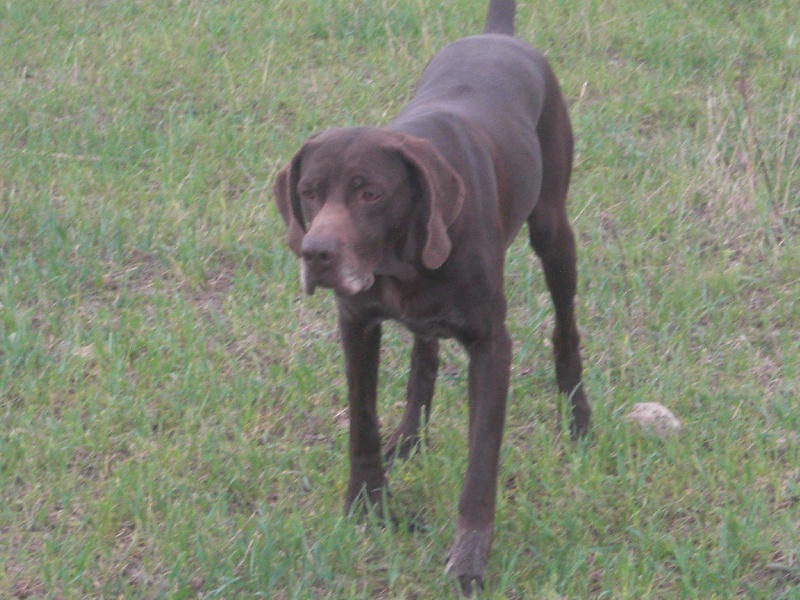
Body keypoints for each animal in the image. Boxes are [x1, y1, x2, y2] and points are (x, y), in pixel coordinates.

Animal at [272, 0, 592, 592]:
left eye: (369, 193)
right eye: (309, 192)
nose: (316, 252)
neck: (402, 261)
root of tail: (498, 35)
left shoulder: (491, 347)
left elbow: (480, 466)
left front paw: (469, 560)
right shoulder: (356, 325)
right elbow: (362, 426)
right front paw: (366, 509)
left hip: (553, 229)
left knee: (565, 328)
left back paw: (578, 417)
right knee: (425, 355)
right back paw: (409, 437)